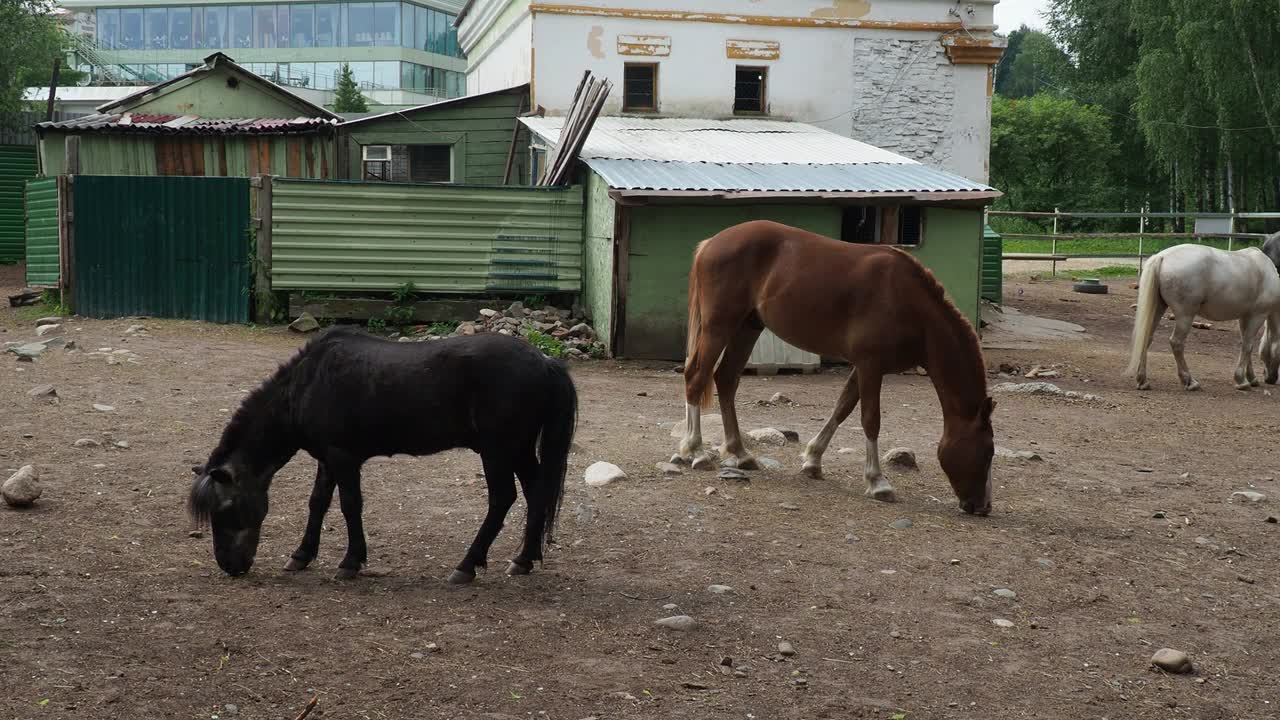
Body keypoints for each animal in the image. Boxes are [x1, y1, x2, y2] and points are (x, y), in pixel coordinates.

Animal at [186, 326, 578, 584]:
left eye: (225, 508)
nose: (229, 565)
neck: (306, 385)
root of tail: (545, 361)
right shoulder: (327, 458)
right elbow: (317, 503)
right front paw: (301, 556)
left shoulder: (344, 457)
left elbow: (349, 505)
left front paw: (350, 561)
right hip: (519, 450)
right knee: (536, 492)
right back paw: (524, 559)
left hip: (498, 451)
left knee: (502, 499)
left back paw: (466, 566)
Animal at [675, 221, 993, 512]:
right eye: (987, 451)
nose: (982, 507)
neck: (908, 302)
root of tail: (711, 243)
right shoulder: (870, 366)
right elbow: (870, 419)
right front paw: (877, 482)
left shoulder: (864, 367)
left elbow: (842, 408)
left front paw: (813, 461)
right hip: (719, 327)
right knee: (696, 377)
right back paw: (697, 452)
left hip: (747, 327)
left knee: (726, 379)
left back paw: (741, 454)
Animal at [1126, 244, 1280, 392]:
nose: (1271, 379)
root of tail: (1162, 257)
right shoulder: (1258, 315)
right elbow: (1248, 346)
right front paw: (1242, 381)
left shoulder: (1244, 317)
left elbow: (1246, 344)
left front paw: (1251, 378)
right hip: (1185, 315)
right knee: (1176, 343)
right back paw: (1190, 381)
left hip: (1158, 308)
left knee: (1146, 338)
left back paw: (1143, 381)